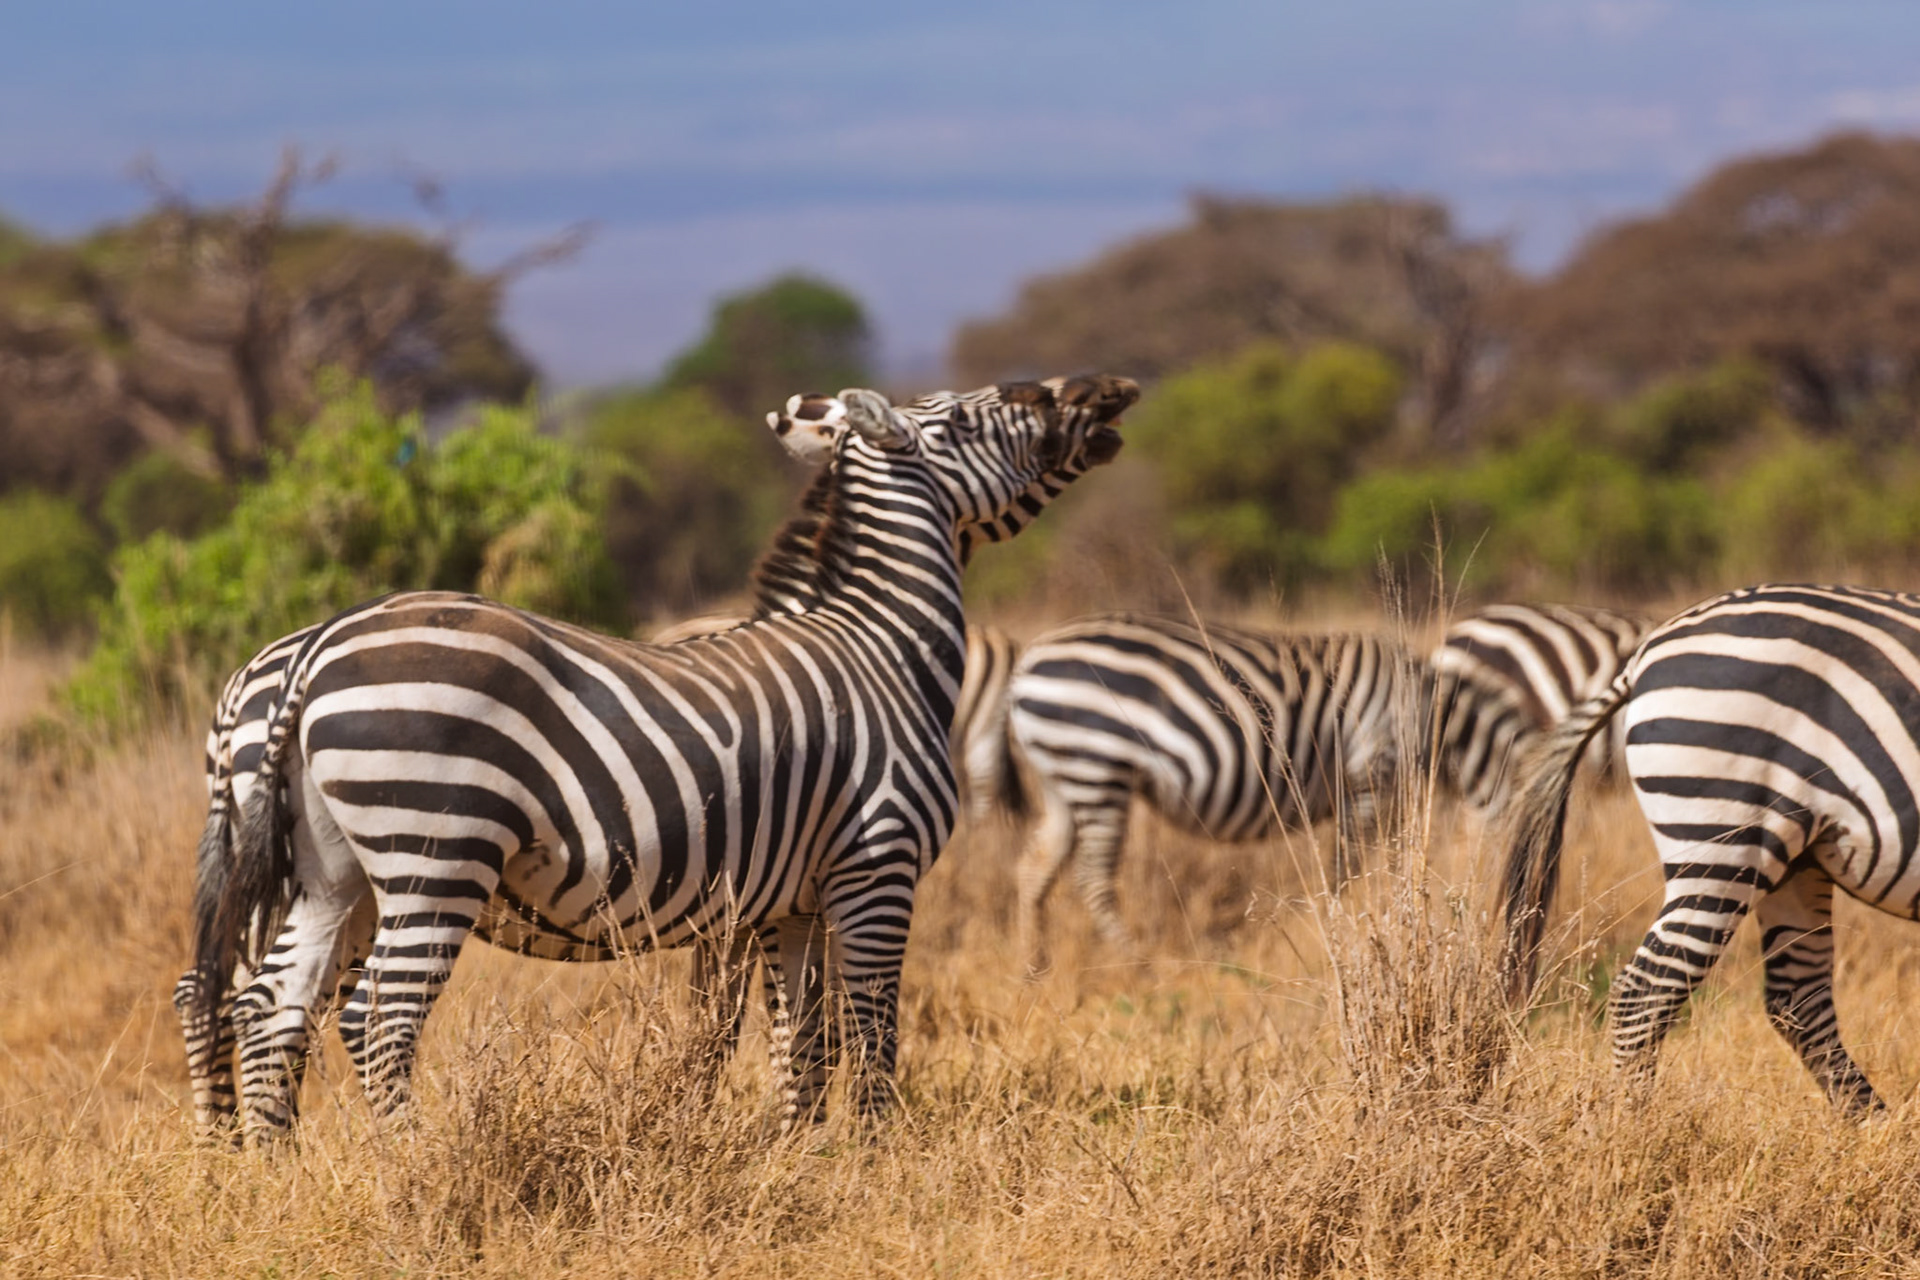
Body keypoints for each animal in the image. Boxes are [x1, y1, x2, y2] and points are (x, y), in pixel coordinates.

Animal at [179, 373, 1138, 1139]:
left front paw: (796, 1156)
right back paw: (413, 1167)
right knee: (373, 1018)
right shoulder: (876, 865)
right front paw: (874, 1155)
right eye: (972, 418)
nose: (1108, 393)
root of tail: (311, 651)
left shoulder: (790, 900)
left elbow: (802, 1039)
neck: (884, 644)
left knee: (267, 1006)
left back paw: (272, 1169)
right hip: (434, 855)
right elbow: (866, 1029)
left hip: (330, 869)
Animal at [1003, 614, 1427, 971]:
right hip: (1094, 764)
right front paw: (1339, 929)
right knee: (1092, 878)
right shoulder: (1370, 777)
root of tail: (1025, 666)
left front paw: (1389, 916)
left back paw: (1033, 966)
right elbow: (1347, 868)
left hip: (1062, 778)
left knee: (1035, 866)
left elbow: (1391, 863)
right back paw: (1139, 962)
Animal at [1499, 583, 1920, 1113]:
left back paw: (1875, 1125)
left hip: (1795, 854)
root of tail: (1647, 651)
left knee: (1797, 996)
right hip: (1725, 838)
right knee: (1646, 992)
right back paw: (1633, 1127)